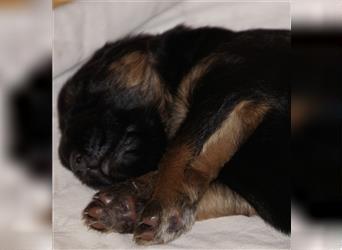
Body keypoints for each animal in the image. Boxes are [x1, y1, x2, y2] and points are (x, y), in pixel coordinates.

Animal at [58, 25, 288, 244]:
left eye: (84, 92)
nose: (75, 163)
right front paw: (125, 203)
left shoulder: (229, 86)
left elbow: (179, 149)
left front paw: (160, 203)